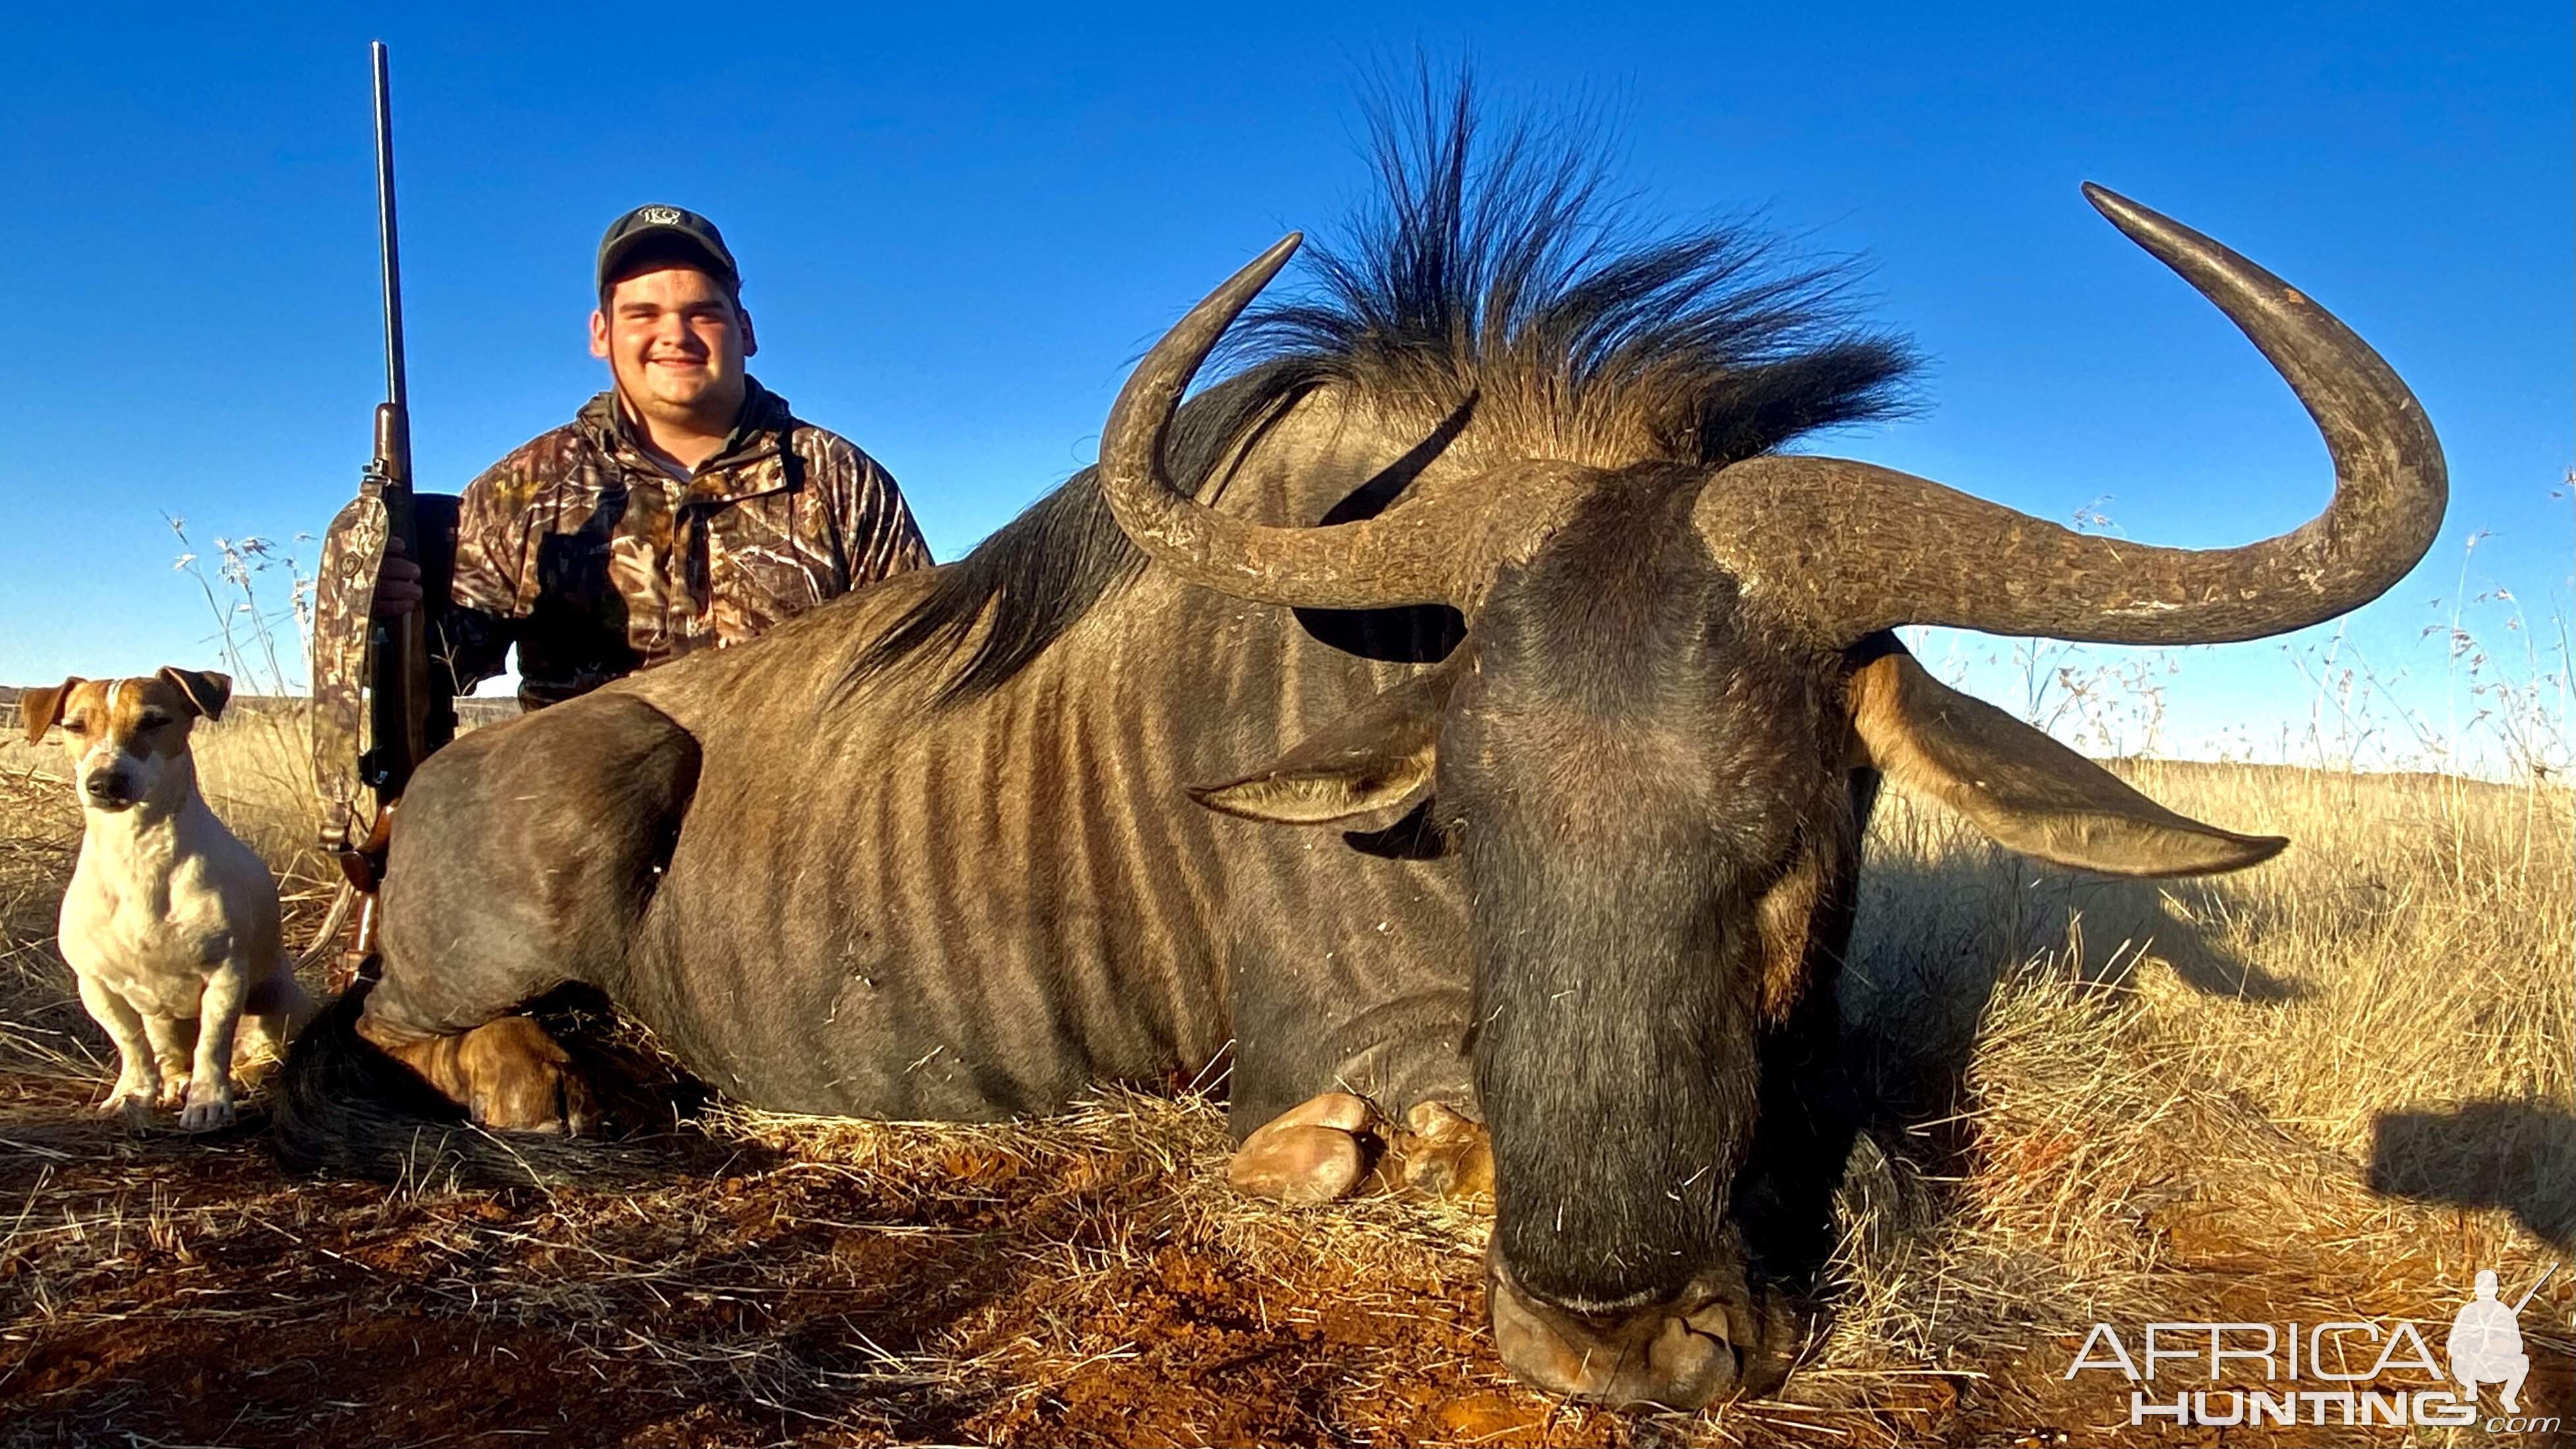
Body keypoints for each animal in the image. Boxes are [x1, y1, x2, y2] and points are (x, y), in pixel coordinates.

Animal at [20, 665, 311, 1129]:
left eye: (153, 721)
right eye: (75, 726)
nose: (105, 781)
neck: (138, 853)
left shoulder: (225, 976)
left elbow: (212, 1044)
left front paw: (208, 1102)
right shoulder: (95, 984)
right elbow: (132, 1045)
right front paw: (132, 1093)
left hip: (278, 1006)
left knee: (250, 1054)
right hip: (161, 1019)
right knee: (170, 1057)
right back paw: (175, 1083)